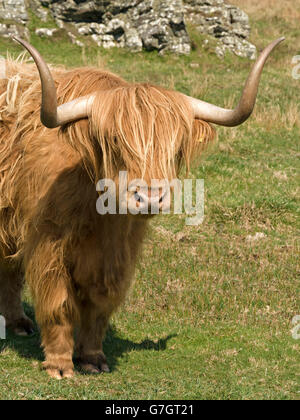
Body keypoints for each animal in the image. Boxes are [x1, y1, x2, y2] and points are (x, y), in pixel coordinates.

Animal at [0, 35, 284, 378]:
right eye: (115, 142)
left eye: (175, 148)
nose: (149, 197)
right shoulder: (47, 240)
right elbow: (58, 302)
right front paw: (60, 365)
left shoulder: (120, 252)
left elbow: (102, 302)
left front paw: (93, 359)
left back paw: (18, 323)